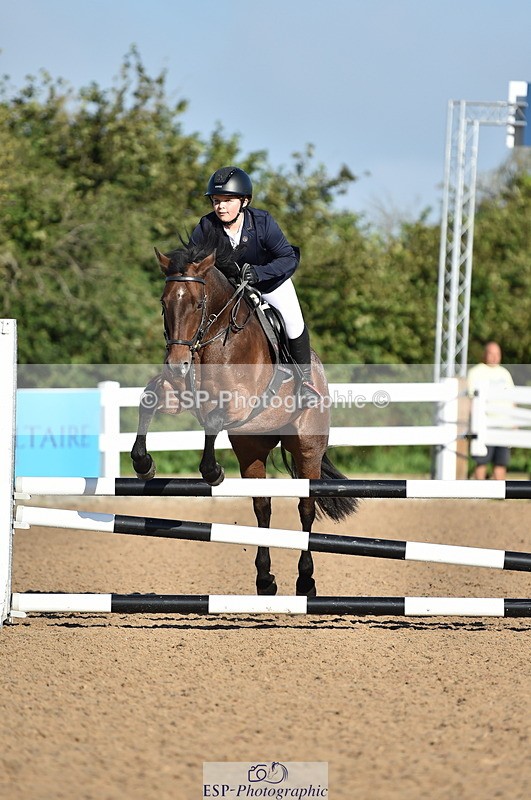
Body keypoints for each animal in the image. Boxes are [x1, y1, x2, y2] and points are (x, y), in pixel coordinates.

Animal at [130, 229, 357, 596]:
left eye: (197, 304)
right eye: (164, 304)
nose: (177, 365)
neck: (210, 341)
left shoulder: (241, 403)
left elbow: (213, 419)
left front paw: (212, 472)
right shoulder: (178, 395)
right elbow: (148, 398)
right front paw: (143, 463)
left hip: (307, 448)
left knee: (306, 507)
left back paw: (305, 581)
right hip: (252, 447)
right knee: (262, 507)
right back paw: (265, 580)